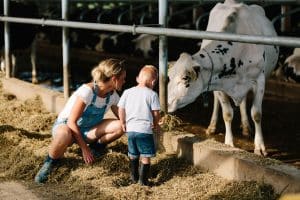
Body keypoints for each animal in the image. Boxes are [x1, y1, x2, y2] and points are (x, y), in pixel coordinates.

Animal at [166, 0, 278, 156]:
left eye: (185, 78)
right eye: (169, 76)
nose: (166, 102)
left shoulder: (259, 80)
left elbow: (256, 114)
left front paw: (260, 147)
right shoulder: (218, 83)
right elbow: (227, 113)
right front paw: (229, 144)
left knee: (243, 101)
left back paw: (245, 126)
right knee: (217, 102)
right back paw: (212, 126)